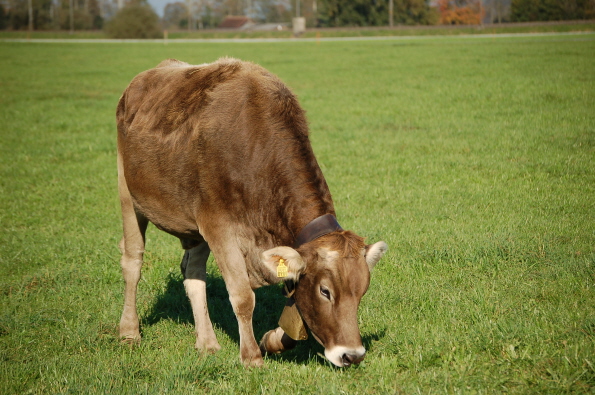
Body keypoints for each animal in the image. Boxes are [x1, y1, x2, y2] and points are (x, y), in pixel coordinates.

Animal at [116, 58, 388, 368]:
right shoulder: (219, 227)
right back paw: (129, 332)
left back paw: (207, 342)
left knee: (193, 272)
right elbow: (243, 296)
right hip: (127, 191)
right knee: (133, 262)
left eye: (362, 290)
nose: (352, 355)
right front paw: (252, 357)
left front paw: (271, 340)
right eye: (325, 291)